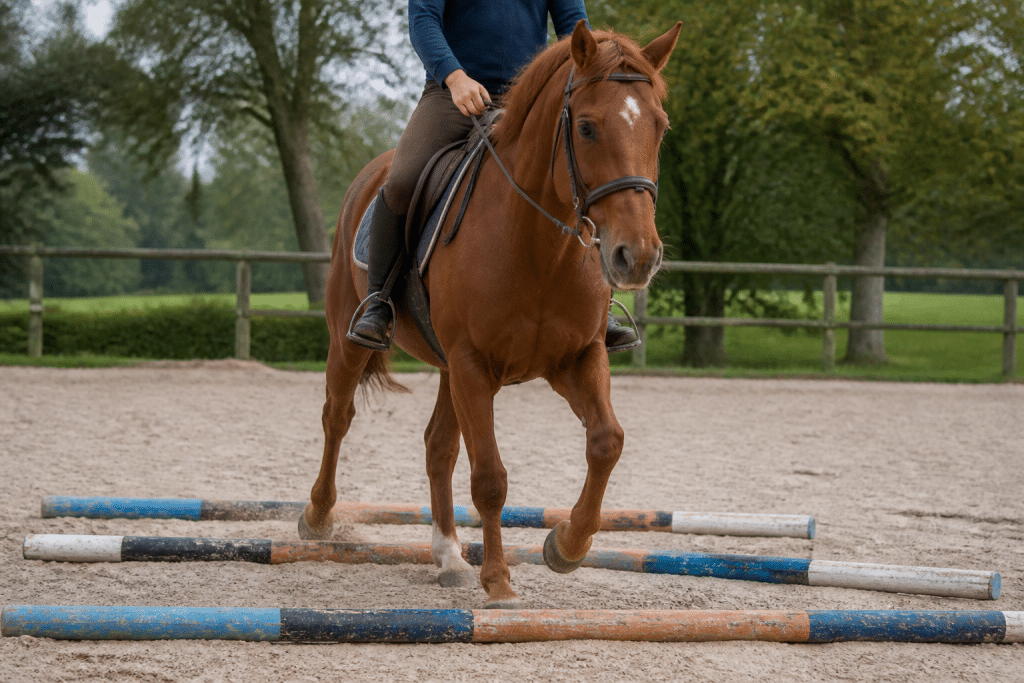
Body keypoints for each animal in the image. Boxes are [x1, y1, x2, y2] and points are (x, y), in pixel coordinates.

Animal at [301, 20, 681, 608]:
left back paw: (449, 557)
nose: (636, 256)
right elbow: (490, 478)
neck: (539, 247)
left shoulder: (576, 358)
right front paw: (499, 581)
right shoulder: (473, 365)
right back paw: (318, 517)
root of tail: (371, 175)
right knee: (337, 417)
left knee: (437, 447)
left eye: (659, 128)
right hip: (353, 343)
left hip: (446, 369)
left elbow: (606, 441)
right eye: (588, 128)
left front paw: (566, 545)